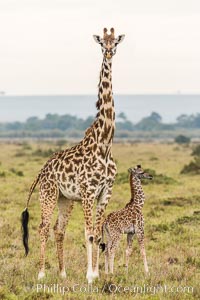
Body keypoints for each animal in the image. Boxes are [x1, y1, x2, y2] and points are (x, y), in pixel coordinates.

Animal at [21, 27, 125, 284]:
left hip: (65, 199)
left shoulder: (105, 192)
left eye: (116, 42)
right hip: (48, 194)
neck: (104, 143)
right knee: (43, 227)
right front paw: (89, 276)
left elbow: (97, 233)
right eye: (102, 43)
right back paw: (41, 273)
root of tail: (42, 171)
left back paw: (62, 272)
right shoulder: (88, 192)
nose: (109, 53)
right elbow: (89, 234)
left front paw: (97, 273)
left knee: (59, 230)